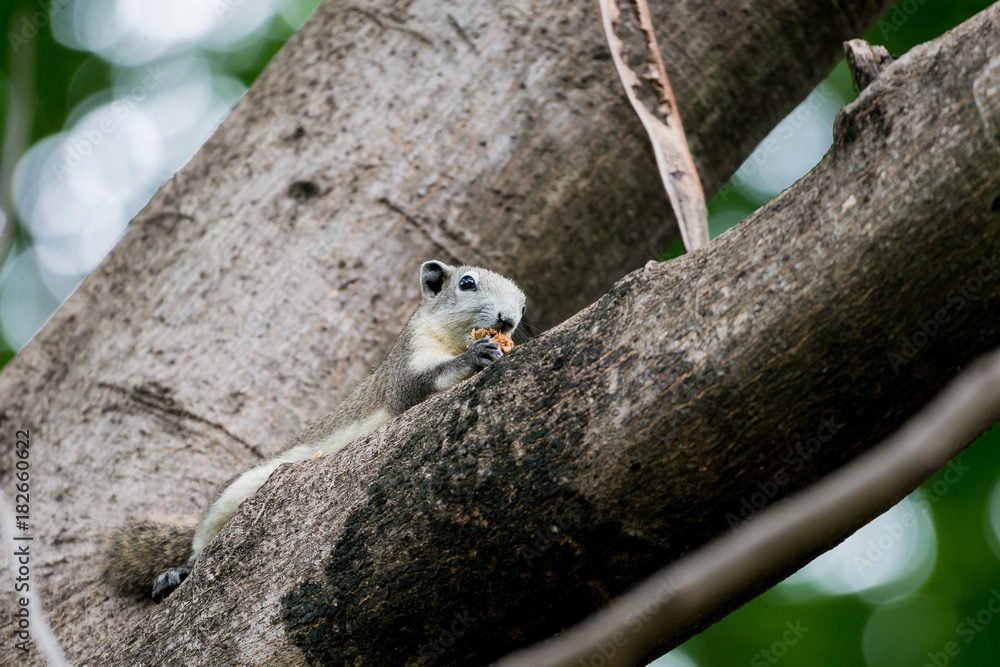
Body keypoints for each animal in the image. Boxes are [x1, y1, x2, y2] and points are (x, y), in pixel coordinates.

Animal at [103, 260, 526, 601]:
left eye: (523, 303)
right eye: (467, 283)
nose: (507, 318)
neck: (452, 340)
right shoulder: (403, 369)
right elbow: (419, 385)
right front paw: (476, 355)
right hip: (233, 494)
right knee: (200, 547)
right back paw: (179, 570)